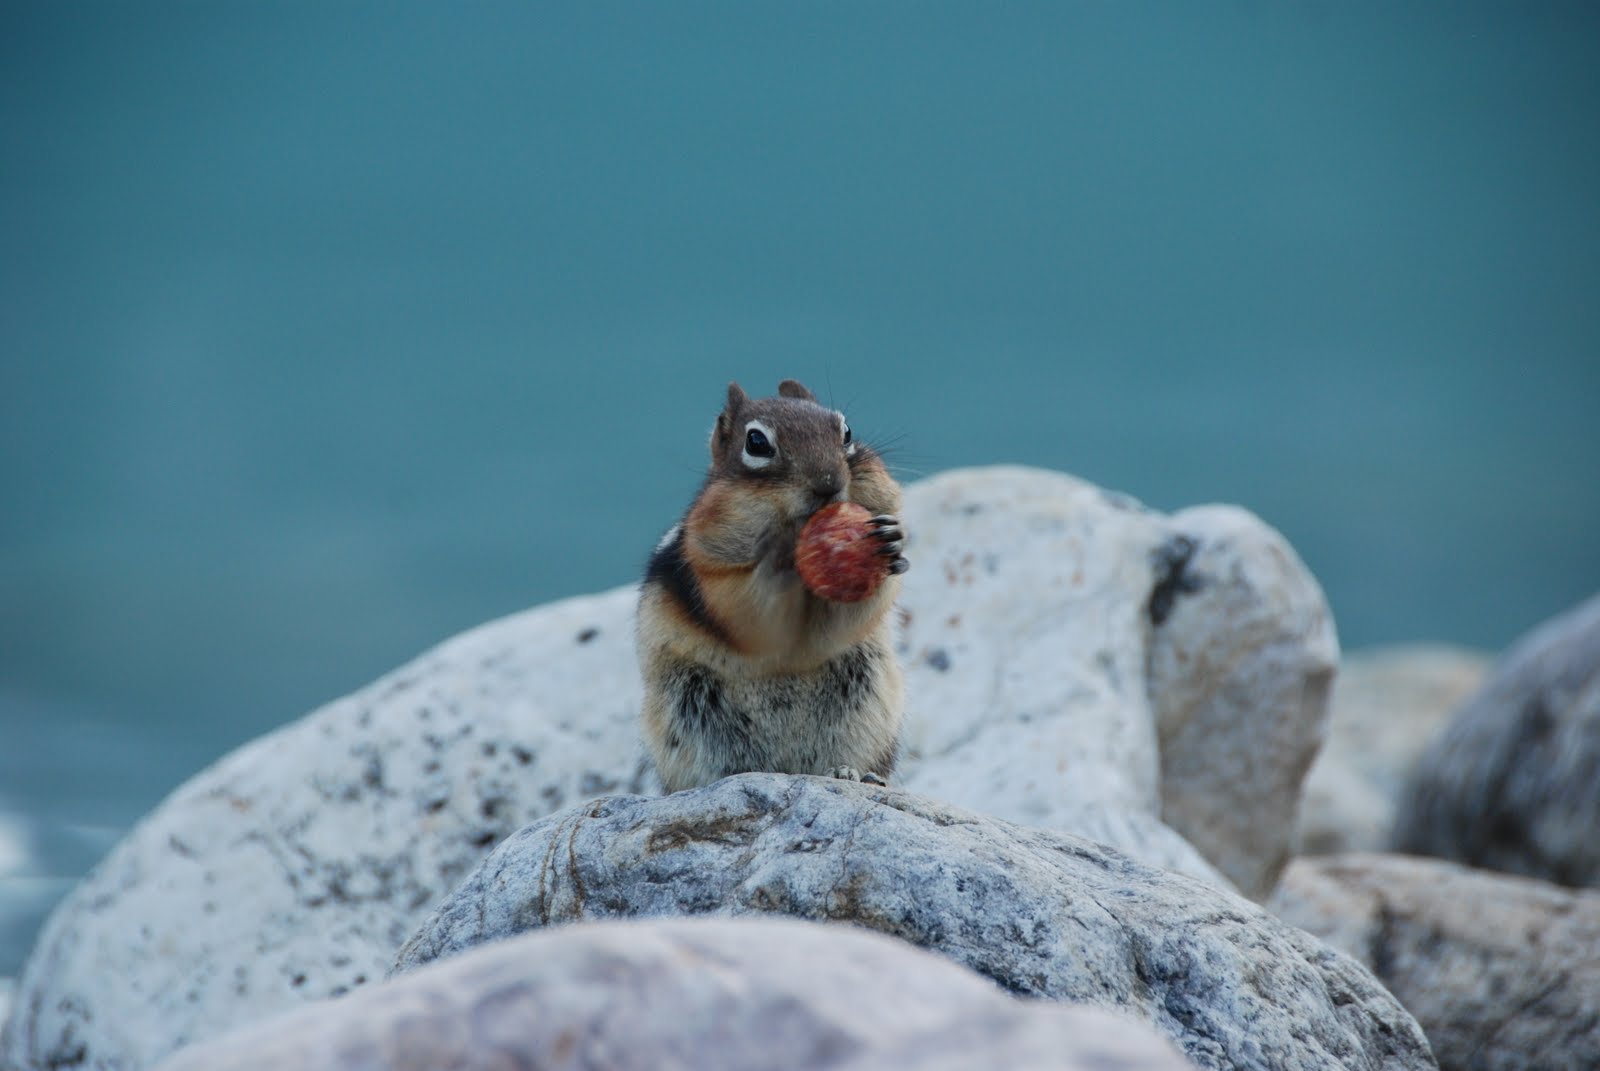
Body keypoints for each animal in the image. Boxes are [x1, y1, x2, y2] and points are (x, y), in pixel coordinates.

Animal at [640, 379, 915, 790]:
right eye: (756, 443)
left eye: (847, 432)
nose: (829, 484)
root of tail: (785, 768)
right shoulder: (708, 572)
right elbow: (753, 620)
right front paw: (777, 555)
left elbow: (841, 625)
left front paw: (892, 541)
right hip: (688, 710)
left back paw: (852, 773)